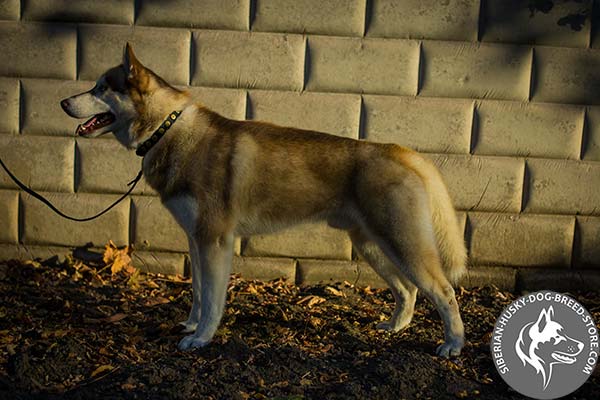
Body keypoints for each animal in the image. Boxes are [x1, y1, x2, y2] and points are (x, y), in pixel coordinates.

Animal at [61, 44, 468, 360]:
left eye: (101, 87)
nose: (63, 101)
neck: (169, 130)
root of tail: (400, 151)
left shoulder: (215, 241)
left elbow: (213, 301)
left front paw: (201, 338)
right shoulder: (195, 239)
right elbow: (197, 293)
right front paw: (190, 324)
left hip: (403, 245)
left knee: (444, 292)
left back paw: (453, 344)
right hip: (372, 245)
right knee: (407, 290)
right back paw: (395, 327)